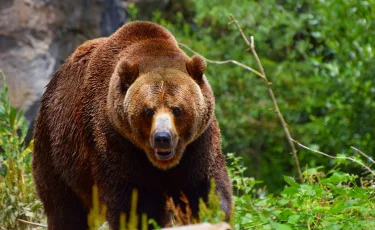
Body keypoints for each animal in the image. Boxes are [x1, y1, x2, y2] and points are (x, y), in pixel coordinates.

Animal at [32, 20, 232, 229]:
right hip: (58, 148)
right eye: (148, 110)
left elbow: (202, 188)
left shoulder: (198, 142)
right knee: (65, 207)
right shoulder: (116, 138)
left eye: (177, 109)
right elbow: (135, 200)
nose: (162, 138)